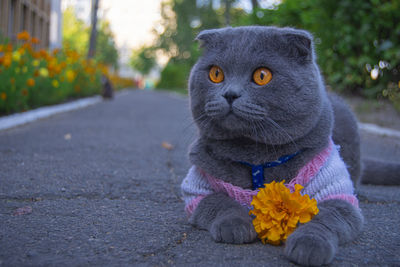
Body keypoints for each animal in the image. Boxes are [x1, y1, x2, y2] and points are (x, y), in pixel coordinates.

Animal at [180, 26, 390, 266]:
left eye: (262, 75)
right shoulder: (196, 188)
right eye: (216, 74)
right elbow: (219, 201)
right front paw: (235, 225)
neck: (255, 156)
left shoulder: (336, 192)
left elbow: (325, 218)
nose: (230, 94)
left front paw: (309, 246)